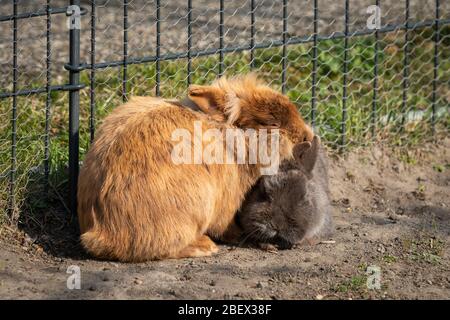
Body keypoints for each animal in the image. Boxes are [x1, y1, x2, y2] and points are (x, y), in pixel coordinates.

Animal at [77, 75, 312, 262]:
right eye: (271, 123)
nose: (307, 136)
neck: (227, 134)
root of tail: (102, 236)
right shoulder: (228, 198)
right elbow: (227, 226)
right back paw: (205, 247)